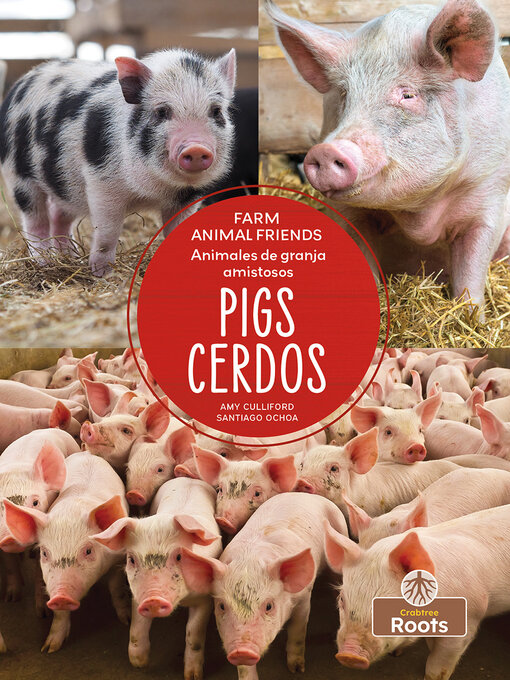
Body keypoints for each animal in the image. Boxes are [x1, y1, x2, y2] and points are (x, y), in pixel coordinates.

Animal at [0, 49, 236, 276]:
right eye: (162, 111)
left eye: (216, 111)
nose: (196, 148)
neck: (152, 191)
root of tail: (20, 83)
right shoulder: (101, 182)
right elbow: (107, 232)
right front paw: (103, 274)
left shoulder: (189, 196)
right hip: (19, 177)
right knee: (35, 220)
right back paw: (45, 262)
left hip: (66, 184)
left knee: (59, 216)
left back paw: (70, 257)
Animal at [3, 452, 129, 653]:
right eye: (45, 553)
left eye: (88, 550)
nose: (61, 596)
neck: (73, 511)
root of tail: (87, 453)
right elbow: (60, 615)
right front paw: (49, 648)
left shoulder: (118, 556)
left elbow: (115, 588)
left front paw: (126, 620)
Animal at [92, 477, 221, 676]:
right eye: (131, 559)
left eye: (179, 557)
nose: (153, 599)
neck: (182, 601)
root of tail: (188, 478)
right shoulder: (137, 595)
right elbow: (137, 628)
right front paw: (139, 664)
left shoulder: (205, 599)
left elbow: (194, 636)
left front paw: (192, 676)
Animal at [179, 492, 348, 679]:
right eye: (222, 606)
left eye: (269, 606)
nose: (242, 651)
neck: (250, 561)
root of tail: (305, 494)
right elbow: (244, 668)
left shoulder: (303, 597)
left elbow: (298, 630)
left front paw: (297, 669)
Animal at [266, 0, 510, 311]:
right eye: (344, 94)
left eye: (407, 95)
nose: (326, 150)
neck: (419, 213)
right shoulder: (349, 213)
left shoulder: (490, 193)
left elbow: (472, 273)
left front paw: (472, 315)